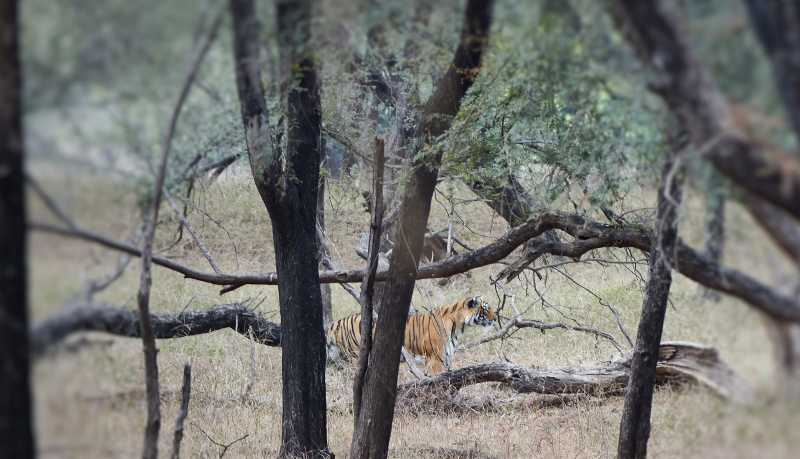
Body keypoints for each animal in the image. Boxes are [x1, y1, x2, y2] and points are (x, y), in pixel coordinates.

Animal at [326, 296, 497, 375]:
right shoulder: (435, 359)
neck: (459, 325)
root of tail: (336, 323)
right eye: (485, 309)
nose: (495, 318)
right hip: (355, 358)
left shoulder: (447, 357)